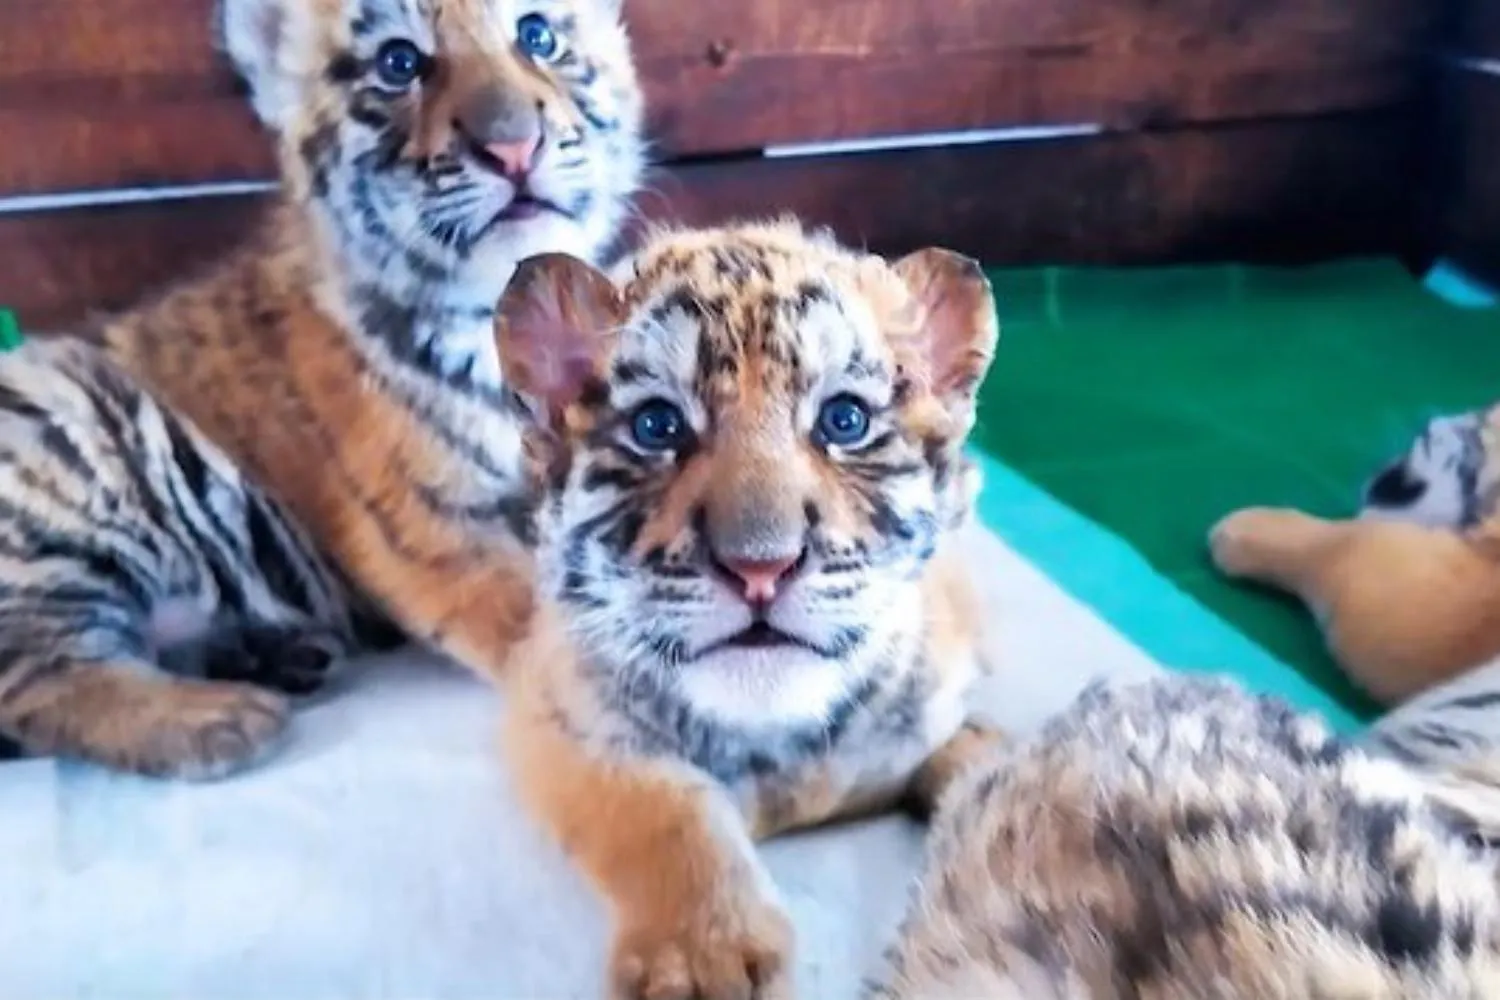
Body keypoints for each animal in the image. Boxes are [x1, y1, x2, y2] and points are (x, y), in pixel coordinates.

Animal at [42, 0, 646, 766]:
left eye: (537, 35)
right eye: (399, 63)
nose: (514, 148)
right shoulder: (435, 534)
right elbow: (553, 620)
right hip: (82, 441)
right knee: (40, 673)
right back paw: (221, 718)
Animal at [490, 220, 1005, 1000]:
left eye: (844, 420)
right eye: (658, 426)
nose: (761, 566)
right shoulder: (562, 720)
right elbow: (667, 808)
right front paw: (702, 959)